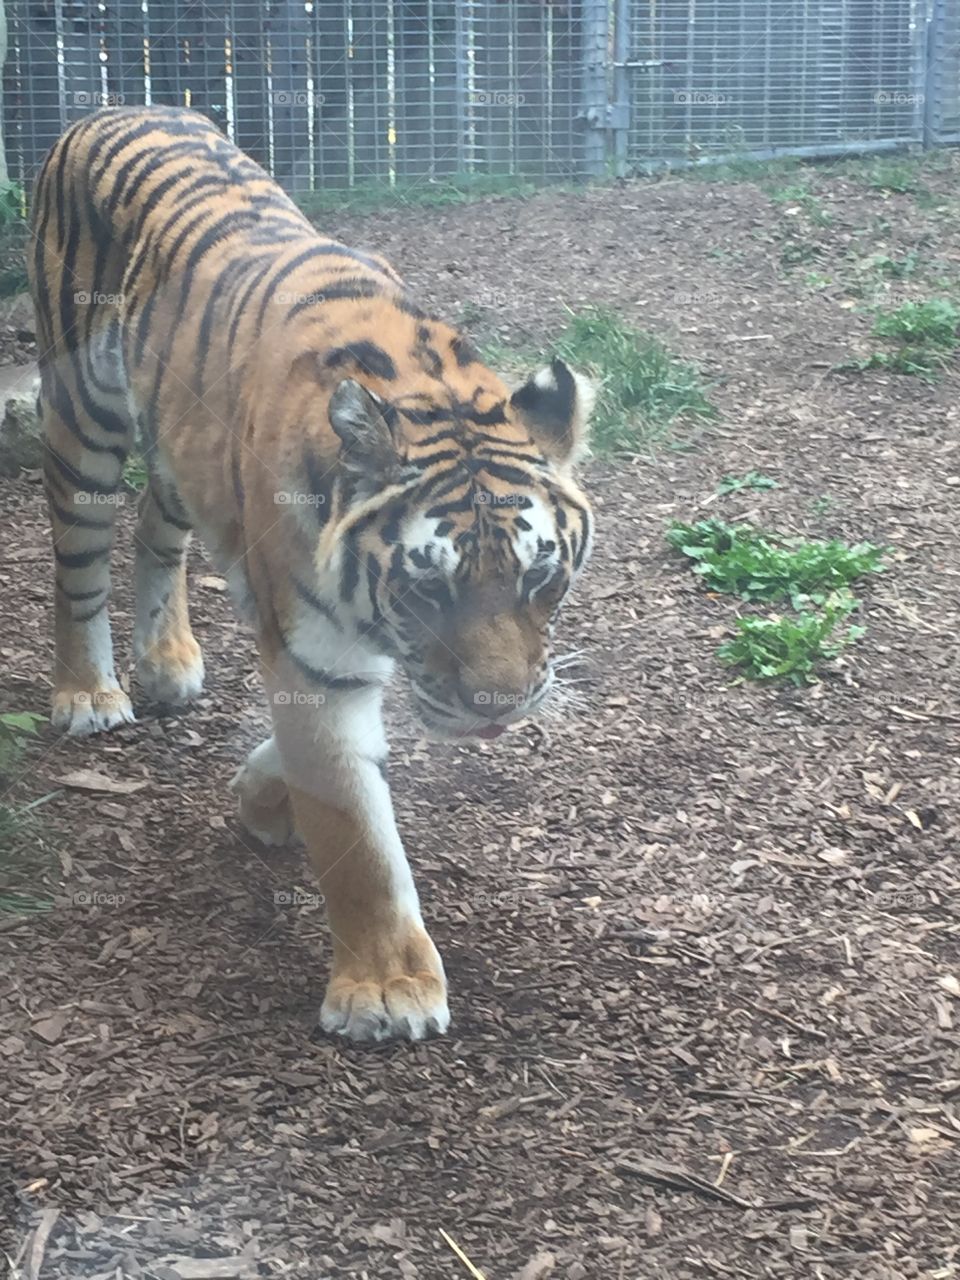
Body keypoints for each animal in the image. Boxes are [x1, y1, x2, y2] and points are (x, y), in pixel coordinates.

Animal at [29, 106, 595, 1043]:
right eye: (429, 588)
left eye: (540, 579)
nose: (500, 710)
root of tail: (110, 108)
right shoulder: (316, 658)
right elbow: (355, 832)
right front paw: (389, 990)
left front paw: (262, 798)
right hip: (83, 419)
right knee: (77, 566)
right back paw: (88, 694)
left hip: (180, 453)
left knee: (155, 530)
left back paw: (169, 663)